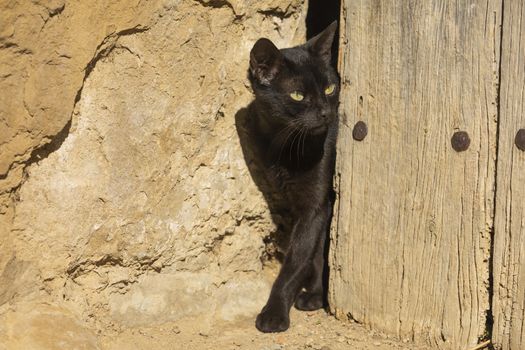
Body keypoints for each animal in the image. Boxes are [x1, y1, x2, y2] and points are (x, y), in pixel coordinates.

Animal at [247, 20, 338, 332]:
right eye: (298, 95)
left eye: (330, 88)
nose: (325, 112)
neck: (287, 147)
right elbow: (312, 252)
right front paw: (315, 294)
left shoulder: (317, 204)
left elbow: (298, 259)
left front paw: (276, 312)